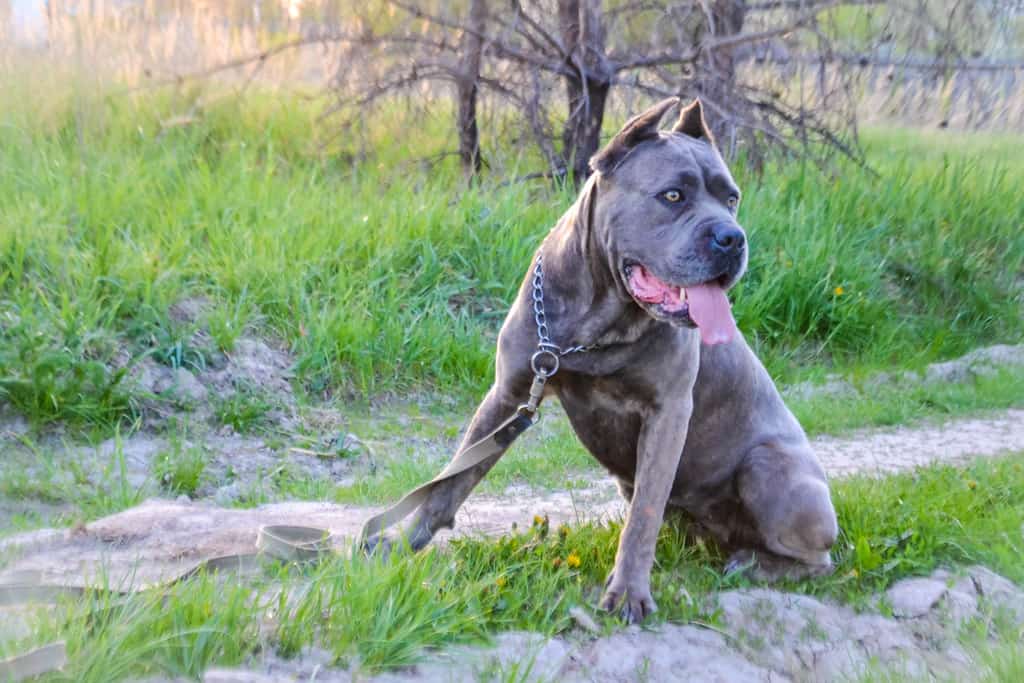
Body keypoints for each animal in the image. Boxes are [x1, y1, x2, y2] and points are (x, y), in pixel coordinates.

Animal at [372, 97, 835, 626]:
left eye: (732, 198)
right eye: (673, 195)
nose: (732, 238)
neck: (598, 320)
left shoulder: (668, 413)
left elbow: (642, 520)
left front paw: (628, 594)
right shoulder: (509, 393)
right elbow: (451, 481)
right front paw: (400, 546)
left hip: (770, 466)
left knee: (817, 560)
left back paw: (753, 564)